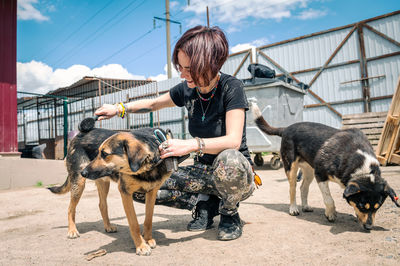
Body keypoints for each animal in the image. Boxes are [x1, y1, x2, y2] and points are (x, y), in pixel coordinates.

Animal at [49, 124, 174, 256]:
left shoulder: (152, 192)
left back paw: (108, 226)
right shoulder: (125, 192)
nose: (84, 172)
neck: (145, 170)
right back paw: (72, 230)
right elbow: (134, 223)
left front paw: (148, 239)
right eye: (99, 152)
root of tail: (80, 134)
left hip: (103, 183)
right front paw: (141, 246)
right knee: (70, 208)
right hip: (78, 183)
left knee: (102, 205)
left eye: (104, 154)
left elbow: (148, 219)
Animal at [250, 101, 400, 230]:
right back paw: (294, 208)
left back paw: (305, 206)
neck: (361, 165)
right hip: (291, 167)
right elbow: (329, 199)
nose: (369, 227)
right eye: (362, 205)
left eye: (377, 207)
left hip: (309, 171)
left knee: (303, 188)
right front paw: (331, 214)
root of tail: (286, 128)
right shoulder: (320, 175)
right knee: (292, 189)